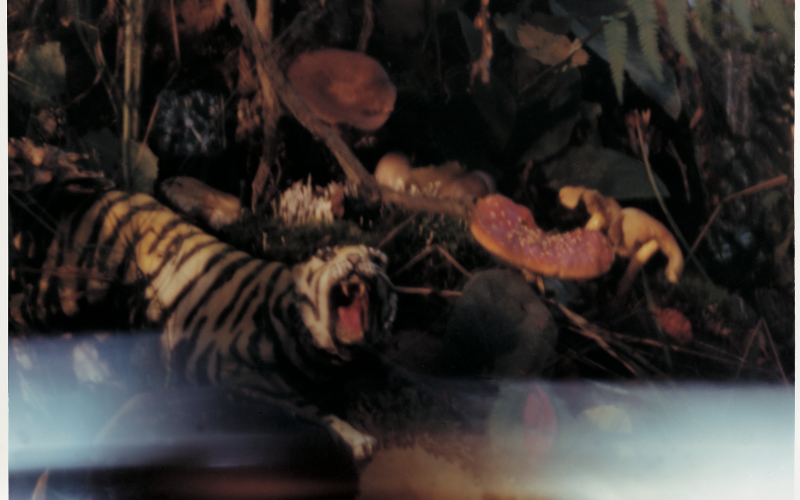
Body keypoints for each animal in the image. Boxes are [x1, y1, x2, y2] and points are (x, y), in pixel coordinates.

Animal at [11, 189, 397, 460]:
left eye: (375, 259)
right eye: (330, 255)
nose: (357, 262)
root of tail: (94, 190)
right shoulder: (229, 368)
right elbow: (309, 406)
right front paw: (358, 438)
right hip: (66, 289)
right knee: (23, 305)